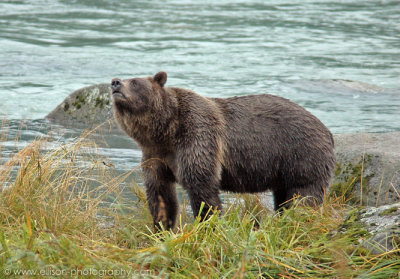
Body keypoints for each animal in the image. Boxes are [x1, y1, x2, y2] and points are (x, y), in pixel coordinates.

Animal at [111, 71, 336, 230]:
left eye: (135, 81)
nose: (115, 82)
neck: (166, 131)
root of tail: (327, 130)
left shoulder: (197, 136)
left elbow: (201, 186)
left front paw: (208, 224)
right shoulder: (156, 154)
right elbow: (160, 193)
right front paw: (161, 228)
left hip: (301, 153)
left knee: (304, 195)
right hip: (283, 168)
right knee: (283, 196)